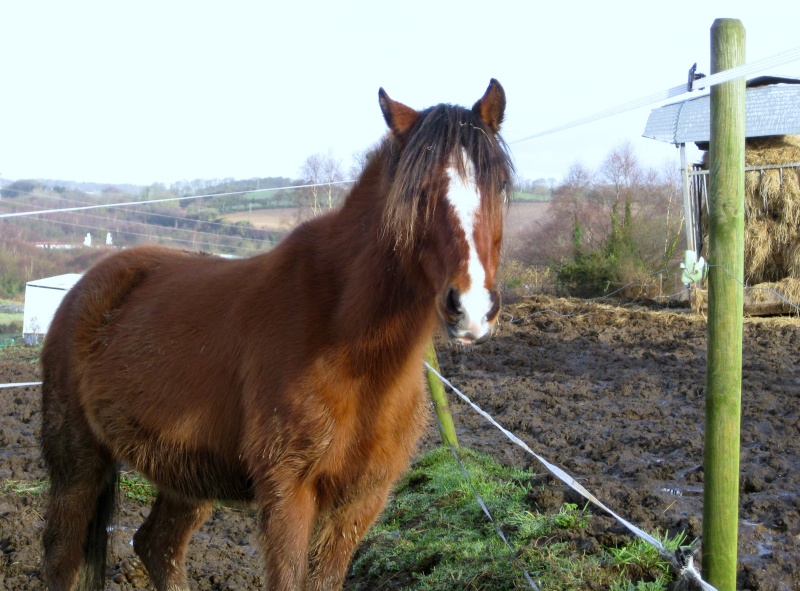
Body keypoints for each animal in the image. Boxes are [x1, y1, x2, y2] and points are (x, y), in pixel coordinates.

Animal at [39, 80, 512, 591]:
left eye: (499, 187)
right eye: (419, 191)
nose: (472, 309)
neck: (351, 348)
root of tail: (86, 286)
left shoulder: (360, 501)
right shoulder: (289, 493)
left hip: (187, 474)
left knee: (157, 545)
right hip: (78, 462)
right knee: (63, 556)